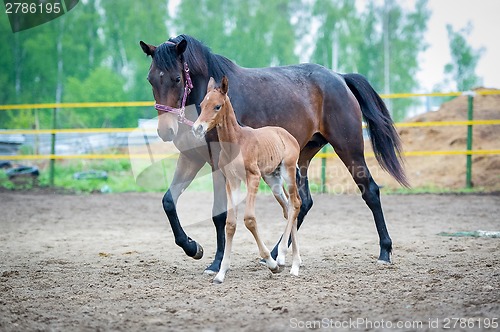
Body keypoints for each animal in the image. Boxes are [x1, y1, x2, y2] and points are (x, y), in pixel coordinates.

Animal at [191, 77, 300, 282]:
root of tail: (288, 135)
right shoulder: (232, 181)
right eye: (201, 105)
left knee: (296, 203)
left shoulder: (253, 177)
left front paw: (272, 263)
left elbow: (249, 219)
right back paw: (295, 264)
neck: (236, 142)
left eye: (217, 106)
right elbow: (230, 224)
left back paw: (282, 257)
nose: (197, 128)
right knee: (288, 207)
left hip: (288, 172)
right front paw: (221, 273)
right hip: (273, 180)